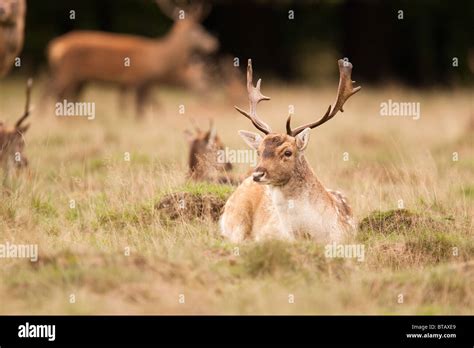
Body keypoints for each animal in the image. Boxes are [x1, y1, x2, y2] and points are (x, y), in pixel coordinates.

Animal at [47, 0, 218, 117]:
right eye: (199, 30)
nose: (214, 43)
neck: (157, 61)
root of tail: (56, 47)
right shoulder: (139, 79)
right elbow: (139, 110)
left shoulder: (143, 84)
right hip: (68, 72)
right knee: (55, 93)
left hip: (77, 78)